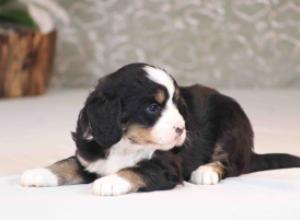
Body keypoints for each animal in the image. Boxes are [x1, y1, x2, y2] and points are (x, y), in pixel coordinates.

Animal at [21, 62, 300, 195]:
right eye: (153, 108)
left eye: (177, 105)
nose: (181, 129)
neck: (126, 143)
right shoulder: (90, 155)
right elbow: (66, 164)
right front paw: (38, 173)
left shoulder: (165, 167)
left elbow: (135, 170)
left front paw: (109, 182)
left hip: (231, 123)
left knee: (231, 163)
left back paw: (206, 171)